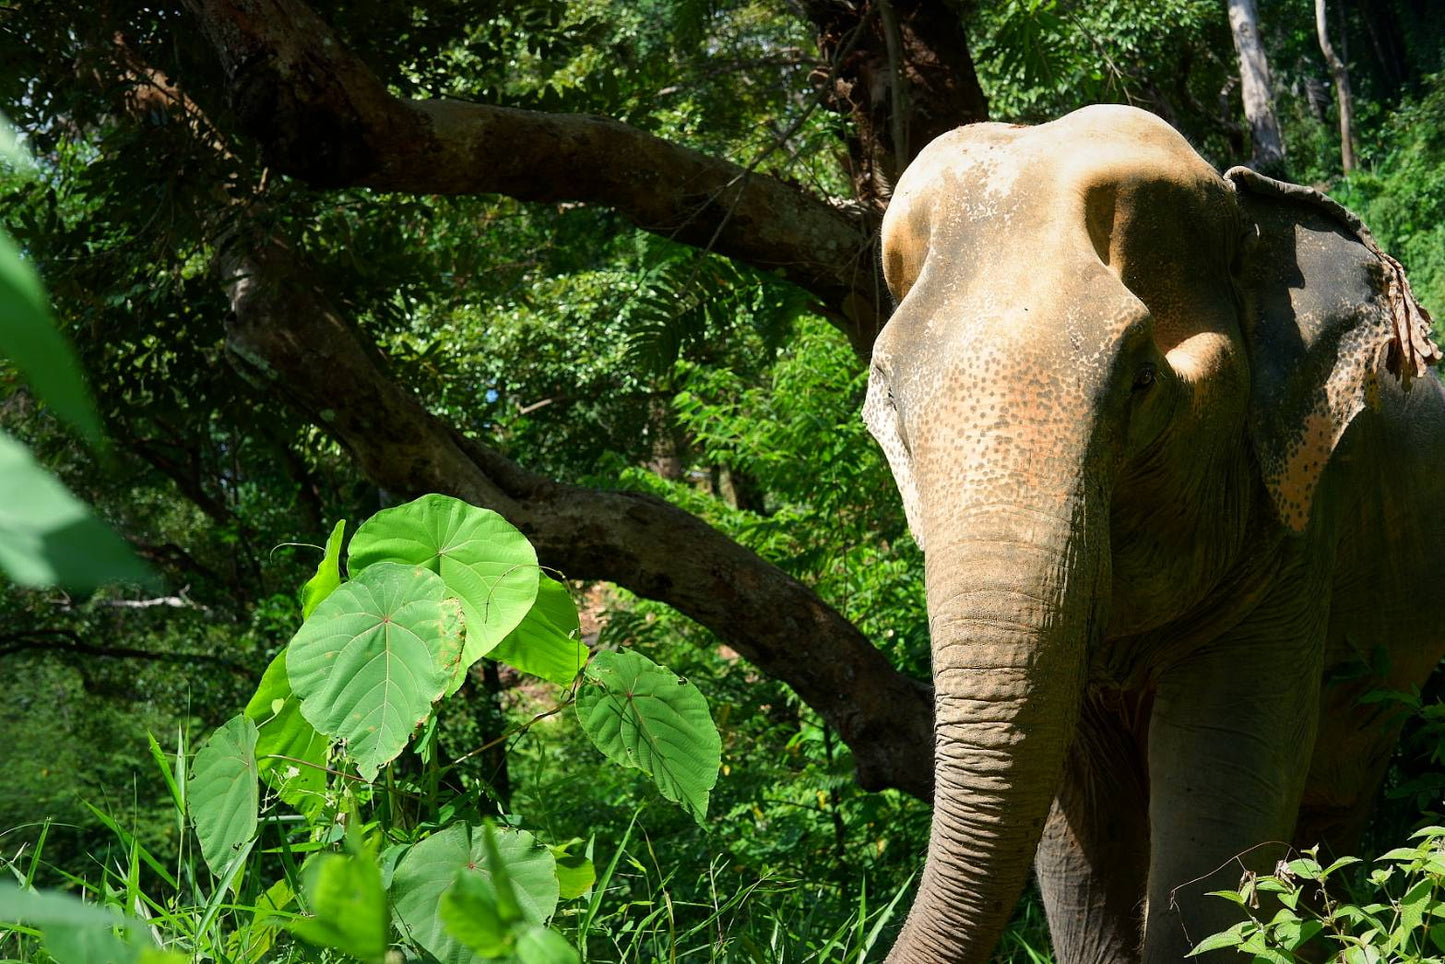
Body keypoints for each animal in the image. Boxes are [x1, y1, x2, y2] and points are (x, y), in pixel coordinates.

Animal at [861, 101, 1439, 959]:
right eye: (889, 409)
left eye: (1140, 381)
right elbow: (1076, 840)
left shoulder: (1295, 526)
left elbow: (1212, 829)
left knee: (1331, 807)